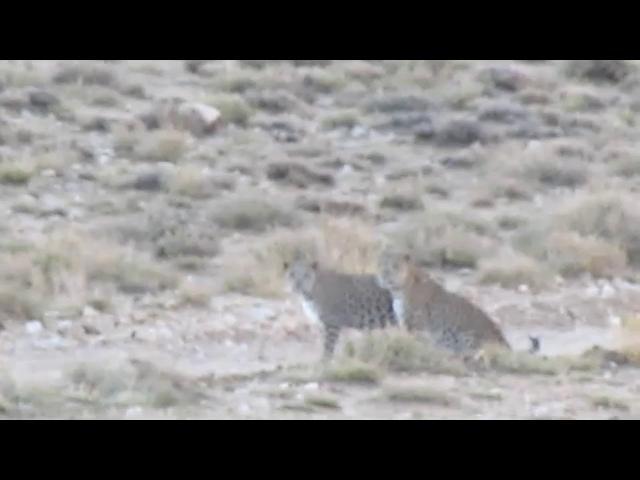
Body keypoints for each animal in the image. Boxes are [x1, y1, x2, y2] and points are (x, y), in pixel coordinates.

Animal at [378, 251, 512, 360]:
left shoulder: (416, 326)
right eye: (381, 264)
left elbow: (414, 342)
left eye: (395, 266)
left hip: (467, 335)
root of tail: (506, 344)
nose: (384, 274)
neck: (399, 290)